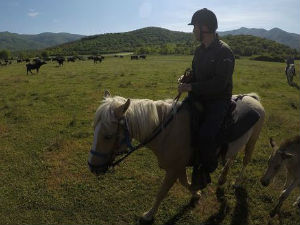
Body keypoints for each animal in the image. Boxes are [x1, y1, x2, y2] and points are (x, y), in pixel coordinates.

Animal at [87, 90, 264, 222]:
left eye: (108, 136)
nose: (92, 166)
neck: (167, 132)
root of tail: (252, 98)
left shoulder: (173, 170)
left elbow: (162, 191)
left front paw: (149, 215)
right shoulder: (179, 167)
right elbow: (185, 183)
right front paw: (196, 192)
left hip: (253, 139)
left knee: (245, 161)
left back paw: (237, 182)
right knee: (231, 158)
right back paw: (222, 178)